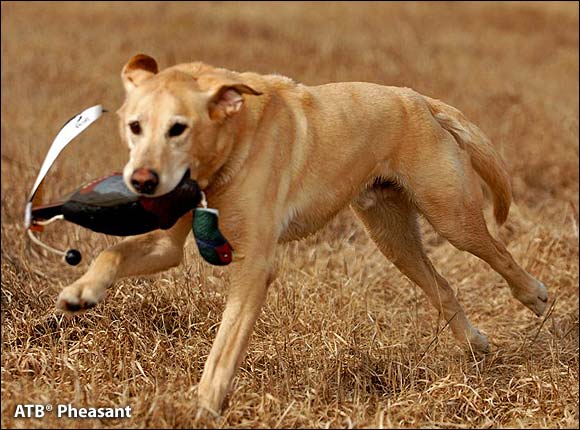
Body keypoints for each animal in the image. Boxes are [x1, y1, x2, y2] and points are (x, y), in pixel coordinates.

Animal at [55, 53, 548, 414]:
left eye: (179, 128)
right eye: (134, 126)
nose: (141, 181)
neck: (230, 145)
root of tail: (420, 100)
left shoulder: (255, 265)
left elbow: (223, 349)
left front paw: (204, 405)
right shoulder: (167, 244)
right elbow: (112, 255)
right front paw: (80, 293)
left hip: (452, 218)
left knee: (501, 254)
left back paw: (536, 297)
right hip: (393, 240)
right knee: (444, 288)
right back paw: (475, 344)